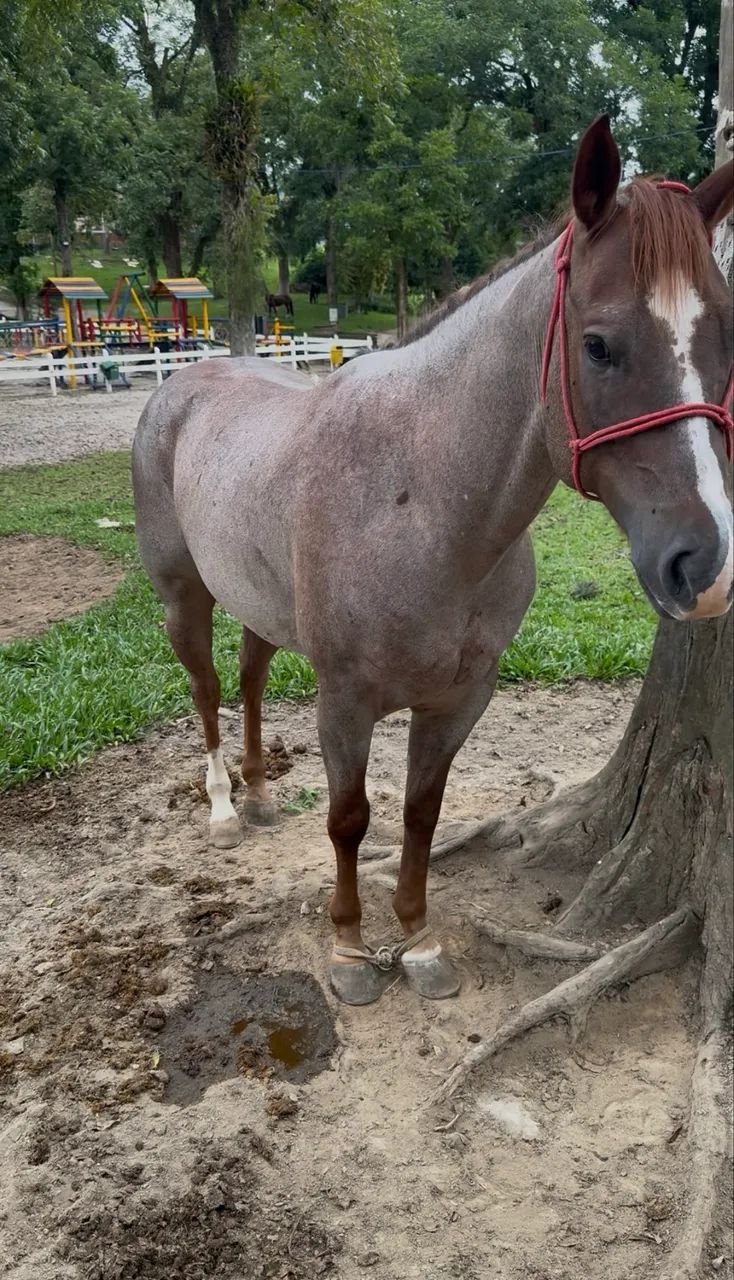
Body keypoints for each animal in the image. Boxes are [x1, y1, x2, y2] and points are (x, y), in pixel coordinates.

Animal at [133, 117, 733, 1007]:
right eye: (598, 346)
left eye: (726, 339)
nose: (705, 565)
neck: (421, 503)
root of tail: (182, 381)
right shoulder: (345, 699)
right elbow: (350, 819)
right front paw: (350, 952)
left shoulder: (459, 698)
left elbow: (421, 812)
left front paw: (416, 940)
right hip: (184, 597)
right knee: (207, 688)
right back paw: (221, 806)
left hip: (258, 604)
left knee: (248, 679)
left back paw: (261, 793)